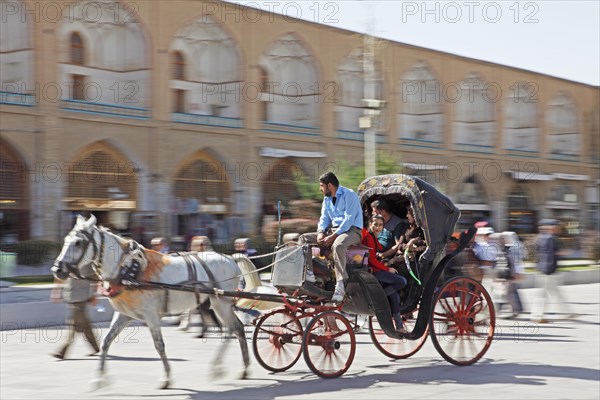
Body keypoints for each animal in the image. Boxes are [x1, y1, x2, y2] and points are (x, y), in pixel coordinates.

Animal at [50, 214, 250, 390]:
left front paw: (166, 378)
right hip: (218, 303)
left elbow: (159, 345)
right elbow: (106, 341)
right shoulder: (124, 314)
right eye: (66, 239)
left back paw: (221, 368)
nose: (56, 269)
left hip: (221, 302)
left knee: (233, 328)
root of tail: (231, 258)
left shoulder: (151, 315)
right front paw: (98, 380)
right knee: (237, 328)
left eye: (78, 242)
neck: (128, 271)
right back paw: (243, 368)